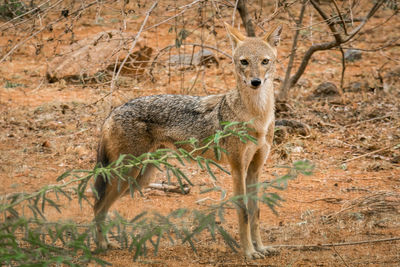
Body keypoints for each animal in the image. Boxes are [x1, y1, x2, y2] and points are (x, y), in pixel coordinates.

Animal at [93, 22, 282, 260]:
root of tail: (112, 112)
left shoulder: (255, 168)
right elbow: (243, 213)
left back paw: (106, 242)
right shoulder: (237, 167)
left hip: (140, 178)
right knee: (98, 206)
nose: (255, 82)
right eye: (244, 62)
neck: (258, 117)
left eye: (265, 61)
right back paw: (100, 245)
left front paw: (261, 248)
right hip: (128, 175)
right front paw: (248, 252)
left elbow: (255, 212)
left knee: (101, 206)